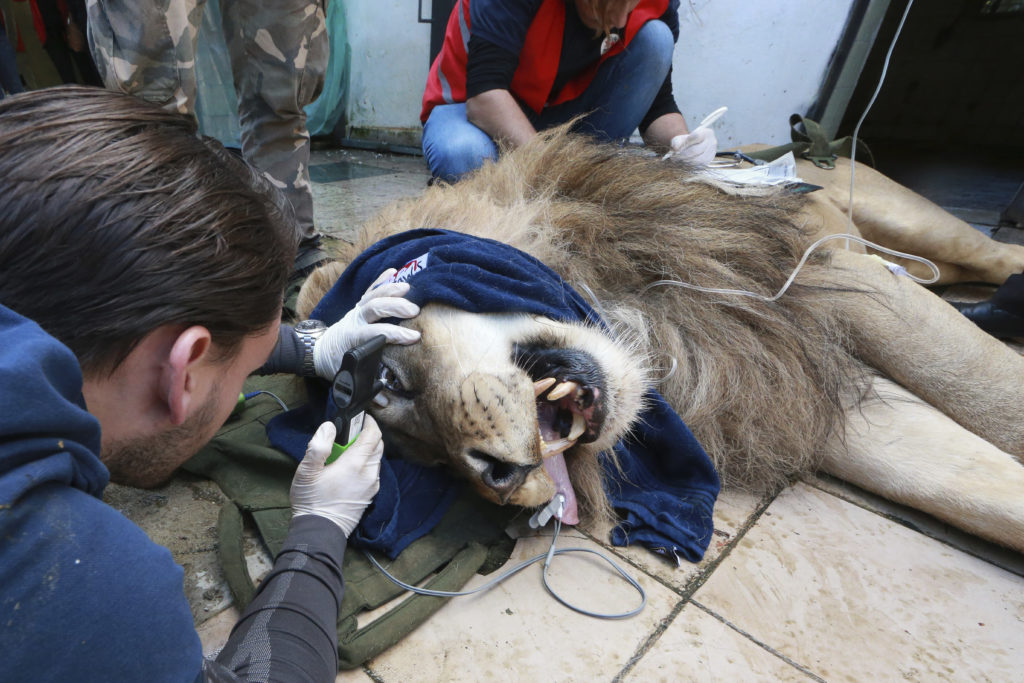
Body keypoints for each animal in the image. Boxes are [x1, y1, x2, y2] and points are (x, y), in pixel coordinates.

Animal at [296, 127, 1024, 557]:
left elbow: (987, 391)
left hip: (905, 226)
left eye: (388, 383)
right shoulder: (781, 389)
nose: (499, 481)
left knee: (983, 253)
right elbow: (970, 489)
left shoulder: (829, 285)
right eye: (430, 464)